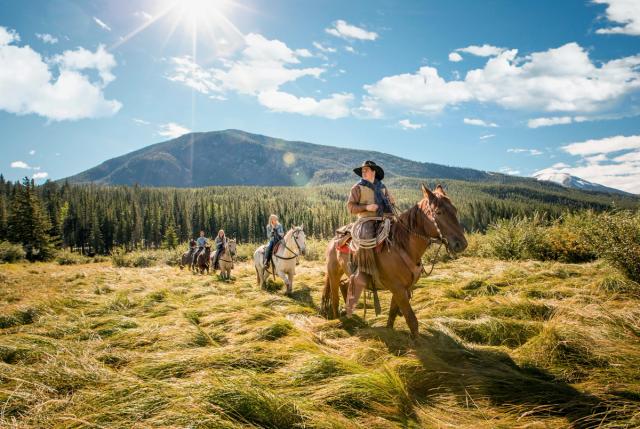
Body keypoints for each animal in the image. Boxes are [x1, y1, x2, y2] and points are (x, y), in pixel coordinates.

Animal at [322, 183, 468, 338]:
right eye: (438, 212)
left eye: (455, 210)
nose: (462, 244)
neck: (402, 247)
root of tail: (334, 239)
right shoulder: (398, 289)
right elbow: (412, 321)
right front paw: (417, 342)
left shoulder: (401, 289)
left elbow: (392, 314)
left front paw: (390, 331)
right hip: (333, 274)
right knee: (335, 299)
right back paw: (338, 321)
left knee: (345, 286)